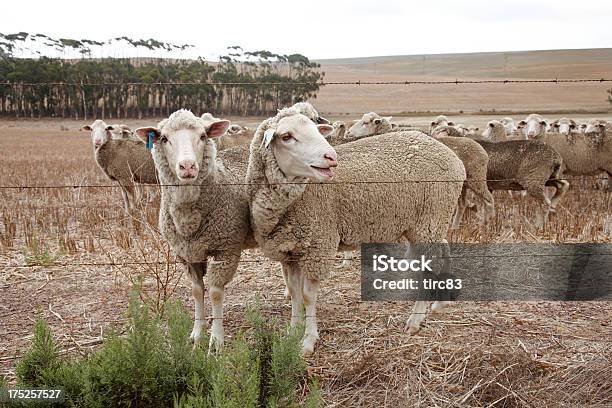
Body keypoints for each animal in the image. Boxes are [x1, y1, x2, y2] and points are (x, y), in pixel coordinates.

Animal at [246, 107, 466, 354]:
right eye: (286, 136)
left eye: (316, 130)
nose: (331, 157)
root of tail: (454, 158)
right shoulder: (290, 251)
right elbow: (294, 294)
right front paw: (292, 333)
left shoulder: (318, 246)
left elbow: (308, 296)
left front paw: (308, 340)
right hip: (427, 223)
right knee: (443, 249)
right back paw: (441, 301)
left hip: (430, 218)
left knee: (431, 265)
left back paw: (416, 320)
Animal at [350, 113, 492, 228]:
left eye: (365, 122)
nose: (349, 132)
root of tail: (482, 150)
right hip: (463, 185)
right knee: (462, 205)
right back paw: (455, 228)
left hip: (476, 178)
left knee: (488, 199)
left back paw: (487, 225)